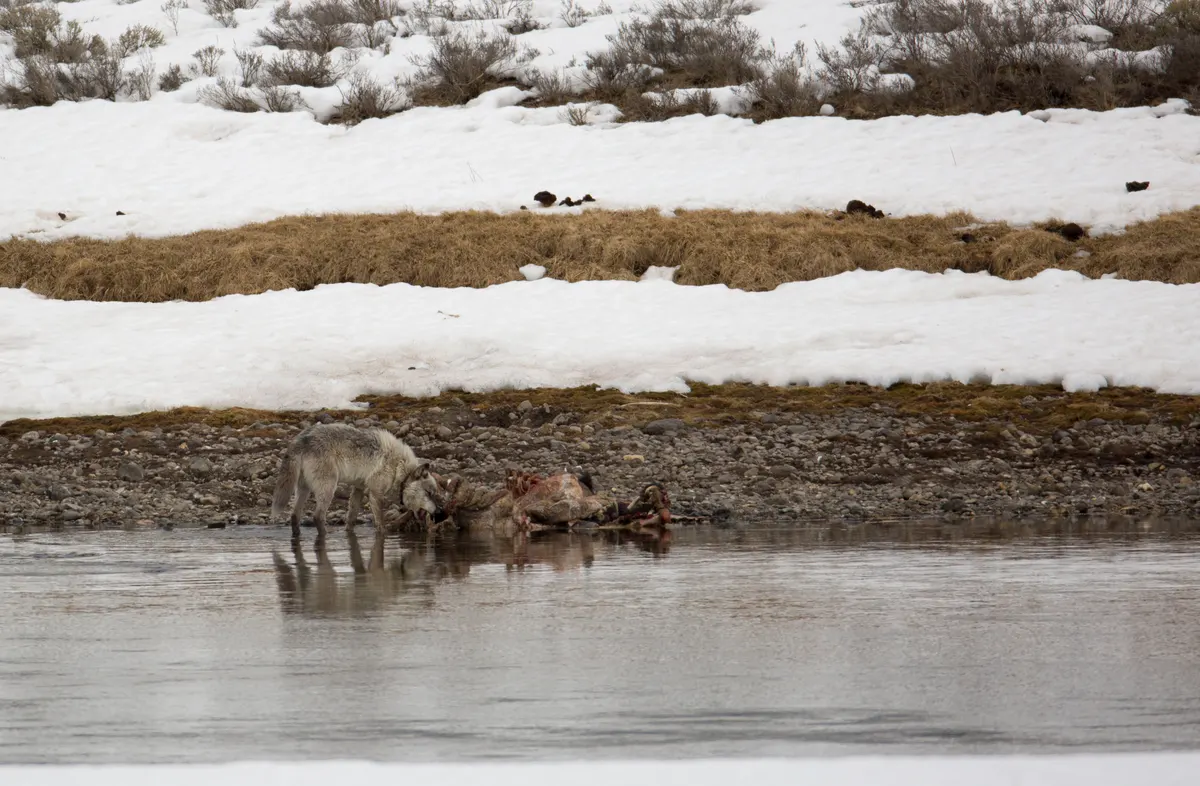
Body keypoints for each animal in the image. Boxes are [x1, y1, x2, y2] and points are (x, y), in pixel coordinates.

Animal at [270, 423, 442, 541]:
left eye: (434, 494)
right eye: (429, 493)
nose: (439, 513)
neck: (399, 466)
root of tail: (300, 440)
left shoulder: (358, 489)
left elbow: (351, 518)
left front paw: (349, 536)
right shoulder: (375, 494)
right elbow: (380, 524)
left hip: (304, 490)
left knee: (294, 516)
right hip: (328, 488)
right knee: (317, 516)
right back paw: (325, 537)